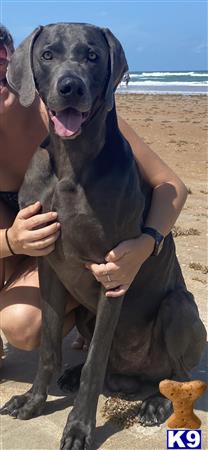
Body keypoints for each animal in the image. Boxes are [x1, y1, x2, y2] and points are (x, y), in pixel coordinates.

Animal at [0, 23, 206, 450]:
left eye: (92, 56)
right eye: (47, 54)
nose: (70, 87)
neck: (71, 162)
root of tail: (131, 379)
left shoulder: (112, 273)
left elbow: (95, 363)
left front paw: (79, 428)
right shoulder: (50, 265)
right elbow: (48, 347)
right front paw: (33, 401)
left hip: (179, 308)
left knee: (174, 375)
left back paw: (156, 402)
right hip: (86, 314)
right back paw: (74, 374)